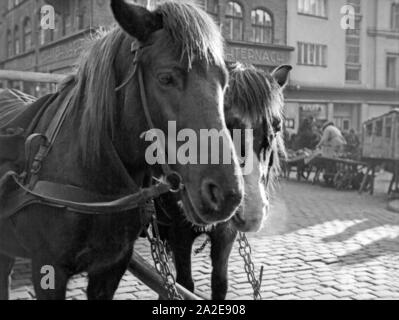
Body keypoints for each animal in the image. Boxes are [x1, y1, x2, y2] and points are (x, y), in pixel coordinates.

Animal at [155, 62, 290, 300]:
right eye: (225, 123)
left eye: (277, 127)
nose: (253, 211)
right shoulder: (178, 231)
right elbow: (183, 284)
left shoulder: (226, 233)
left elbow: (220, 283)